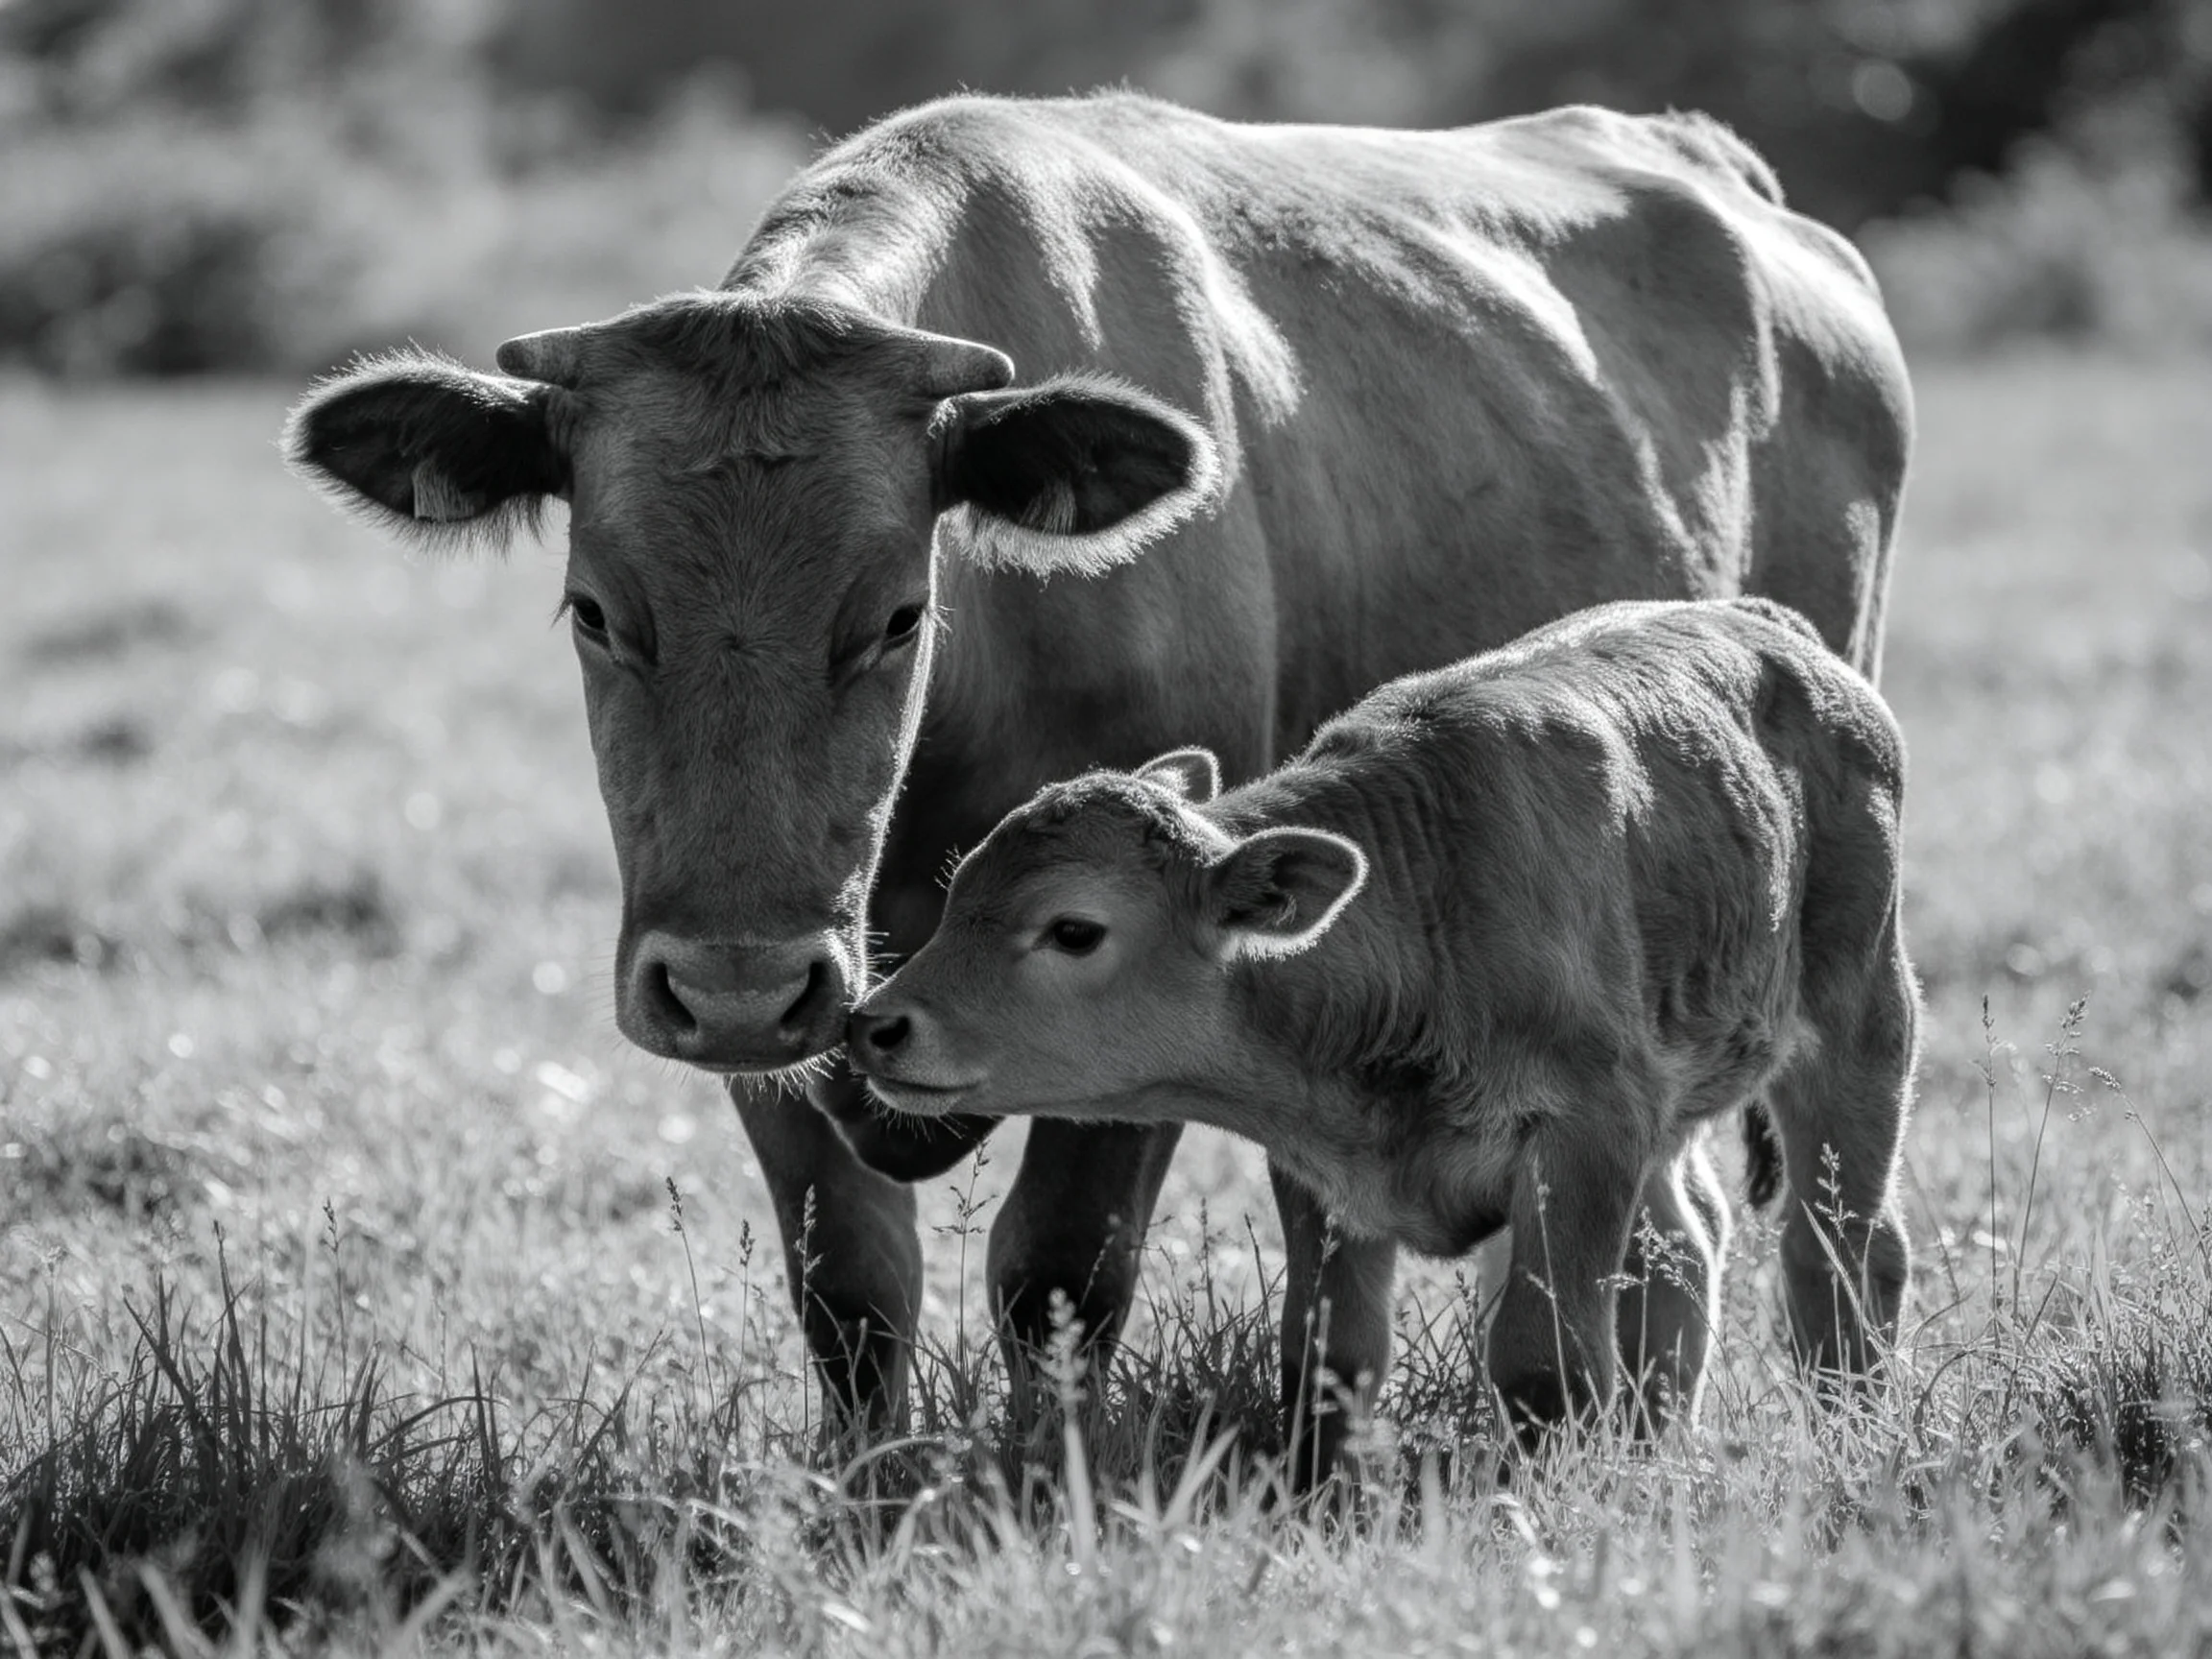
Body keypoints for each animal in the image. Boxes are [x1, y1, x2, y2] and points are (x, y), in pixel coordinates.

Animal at [848, 597, 1918, 1465]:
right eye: (960, 893)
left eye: (1074, 930)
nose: (875, 1024)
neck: (1426, 906)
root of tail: (1771, 628)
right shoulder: (1326, 1168)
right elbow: (1331, 1358)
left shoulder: (1585, 1133)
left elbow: (1546, 1362)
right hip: (1673, 1101)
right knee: (1686, 1248)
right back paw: (1660, 1445)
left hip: (1860, 1022)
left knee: (1844, 1252)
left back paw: (1851, 1426)